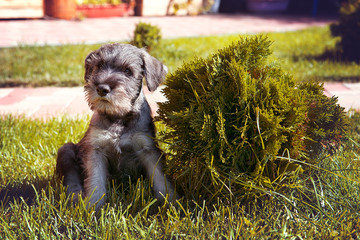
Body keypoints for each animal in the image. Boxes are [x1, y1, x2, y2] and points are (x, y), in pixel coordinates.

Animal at [55, 43, 176, 212]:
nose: (102, 88)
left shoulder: (148, 148)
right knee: (71, 180)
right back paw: (75, 197)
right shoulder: (96, 150)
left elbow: (160, 177)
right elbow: (95, 180)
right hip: (65, 150)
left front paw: (171, 202)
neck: (119, 116)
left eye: (128, 71)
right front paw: (93, 207)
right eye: (99, 66)